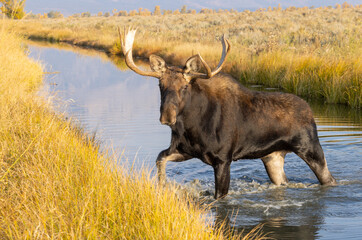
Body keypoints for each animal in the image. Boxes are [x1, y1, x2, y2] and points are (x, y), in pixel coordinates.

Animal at [119, 28, 336, 199]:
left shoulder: (223, 159)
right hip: (272, 157)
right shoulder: (184, 150)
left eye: (184, 87)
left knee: (330, 179)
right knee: (284, 181)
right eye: (160, 85)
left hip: (310, 149)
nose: (167, 117)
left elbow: (219, 197)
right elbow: (160, 159)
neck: (191, 126)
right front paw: (163, 187)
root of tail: (310, 111)